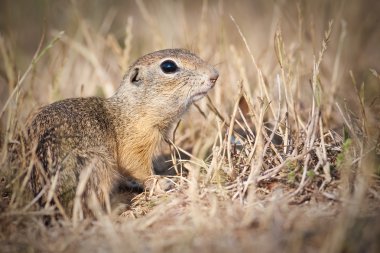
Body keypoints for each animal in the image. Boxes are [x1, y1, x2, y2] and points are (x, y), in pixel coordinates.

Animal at [18, 48, 220, 214]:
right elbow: (137, 167)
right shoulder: (136, 143)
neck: (133, 110)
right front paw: (162, 182)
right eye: (168, 66)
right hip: (95, 165)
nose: (215, 75)